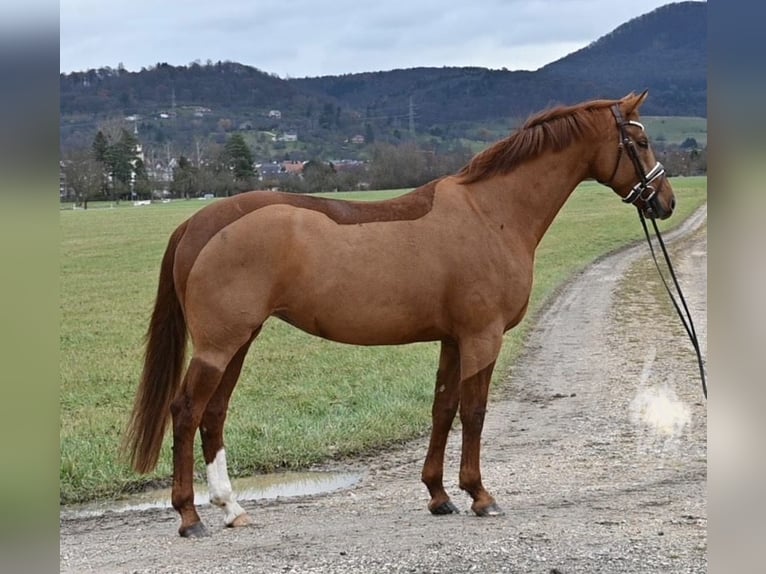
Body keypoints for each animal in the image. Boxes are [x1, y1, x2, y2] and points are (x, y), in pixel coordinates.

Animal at [123, 91, 676, 540]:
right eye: (641, 141)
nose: (665, 201)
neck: (490, 212)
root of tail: (197, 223)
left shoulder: (453, 339)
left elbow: (443, 408)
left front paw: (439, 495)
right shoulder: (482, 337)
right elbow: (474, 411)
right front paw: (480, 495)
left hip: (239, 340)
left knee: (213, 414)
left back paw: (231, 508)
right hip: (219, 345)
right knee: (186, 412)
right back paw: (189, 517)